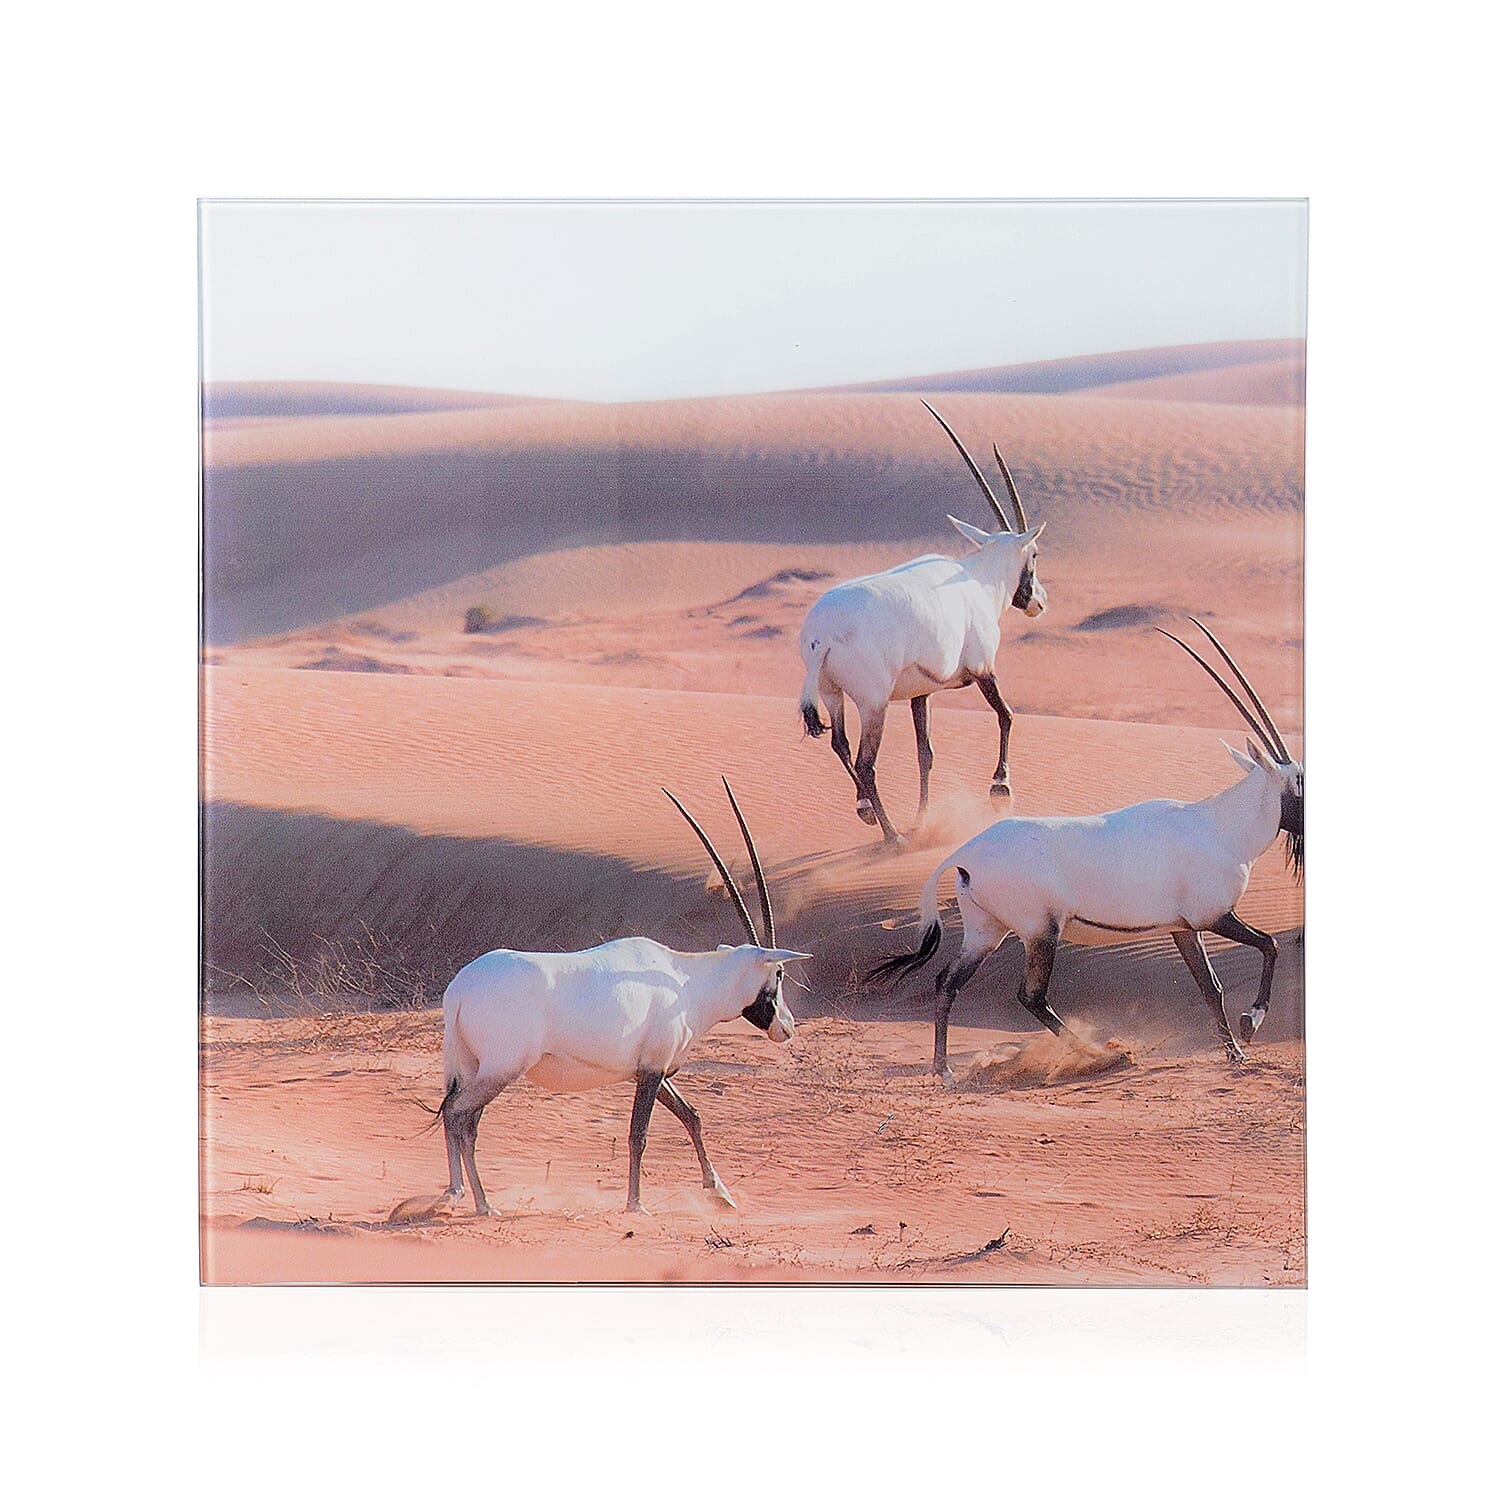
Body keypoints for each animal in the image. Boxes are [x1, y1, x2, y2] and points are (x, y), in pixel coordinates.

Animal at [434, 781, 810, 1216]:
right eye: (779, 973)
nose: (787, 1027)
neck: (688, 980)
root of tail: (460, 991)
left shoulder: (651, 1069)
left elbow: (692, 1117)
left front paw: (721, 1193)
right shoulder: (652, 1070)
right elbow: (638, 1135)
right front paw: (636, 1204)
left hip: (476, 1067)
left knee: (460, 1118)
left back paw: (457, 1194)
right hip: (502, 1069)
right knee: (460, 1115)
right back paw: (476, 1201)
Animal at [798, 401, 1047, 847]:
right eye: (1034, 554)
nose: (1038, 601)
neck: (979, 579)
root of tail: (820, 634)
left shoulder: (922, 693)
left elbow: (924, 753)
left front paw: (922, 817)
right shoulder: (984, 669)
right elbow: (1006, 715)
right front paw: (1000, 789)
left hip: (831, 693)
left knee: (840, 745)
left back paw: (867, 812)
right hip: (873, 703)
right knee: (865, 761)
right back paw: (892, 836)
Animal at [869, 620, 1302, 1076]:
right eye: (1300, 779)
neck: (1221, 826)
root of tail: (963, 855)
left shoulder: (1184, 928)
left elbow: (1211, 987)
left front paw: (1235, 1052)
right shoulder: (1215, 916)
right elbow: (1270, 945)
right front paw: (1251, 1023)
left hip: (987, 932)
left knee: (947, 982)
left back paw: (944, 1069)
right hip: (1041, 933)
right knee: (1031, 996)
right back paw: (1103, 1055)